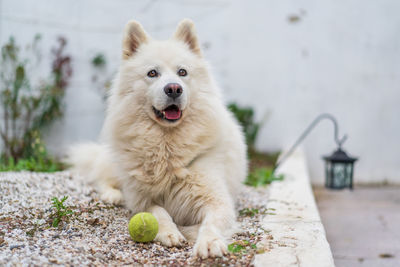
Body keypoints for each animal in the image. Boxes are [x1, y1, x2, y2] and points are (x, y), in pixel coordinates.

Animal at [70, 18, 248, 260]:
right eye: (152, 73)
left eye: (182, 72)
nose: (173, 88)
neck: (167, 145)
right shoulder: (142, 199)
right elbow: (158, 212)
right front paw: (169, 232)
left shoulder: (218, 201)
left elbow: (210, 223)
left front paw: (209, 242)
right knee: (102, 178)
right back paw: (113, 195)